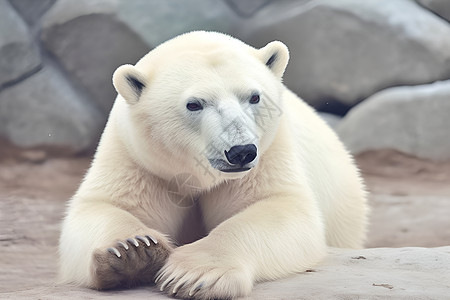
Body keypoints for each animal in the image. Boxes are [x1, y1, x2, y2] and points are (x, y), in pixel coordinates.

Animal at [59, 31, 370, 300]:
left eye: (254, 96)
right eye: (194, 104)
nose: (241, 151)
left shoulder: (268, 155)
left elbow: (281, 207)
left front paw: (194, 275)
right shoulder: (138, 160)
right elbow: (101, 206)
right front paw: (132, 252)